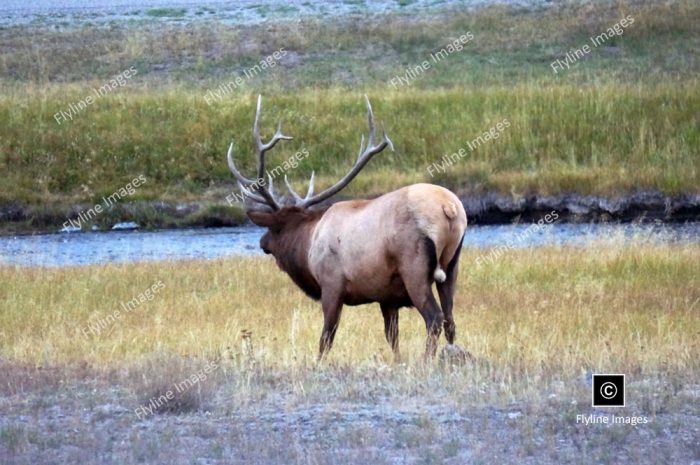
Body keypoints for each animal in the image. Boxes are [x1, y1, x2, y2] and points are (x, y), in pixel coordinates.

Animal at [227, 95, 468, 358]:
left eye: (274, 228)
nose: (262, 242)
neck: (307, 247)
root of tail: (449, 208)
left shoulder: (332, 285)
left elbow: (326, 338)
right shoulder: (387, 297)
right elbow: (392, 338)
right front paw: (397, 361)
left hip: (414, 267)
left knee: (434, 318)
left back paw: (426, 360)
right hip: (452, 266)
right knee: (450, 321)